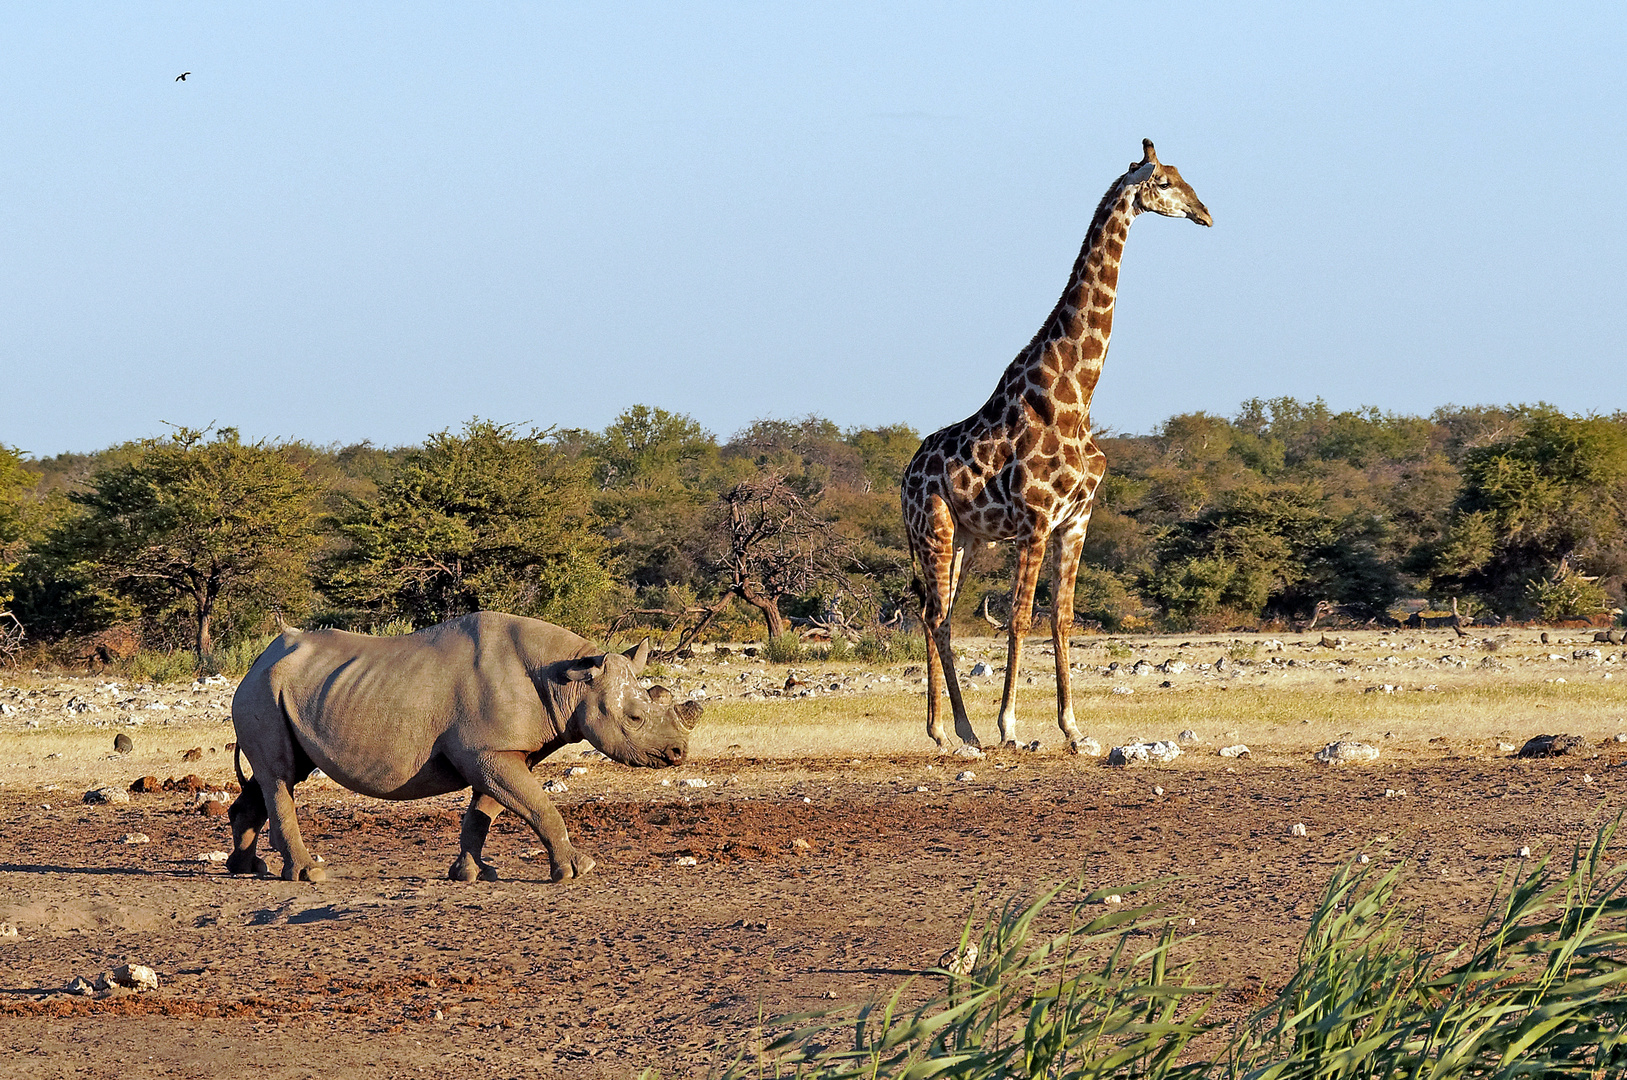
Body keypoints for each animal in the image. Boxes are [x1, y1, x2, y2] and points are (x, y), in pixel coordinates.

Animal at [904, 139, 1210, 751]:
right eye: (1165, 182)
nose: (1206, 213)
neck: (1075, 393)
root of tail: (902, 480)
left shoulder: (1076, 518)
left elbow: (1061, 616)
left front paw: (1072, 727)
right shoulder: (1036, 519)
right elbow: (1021, 616)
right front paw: (1010, 726)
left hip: (967, 539)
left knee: (939, 615)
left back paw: (960, 730)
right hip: (934, 531)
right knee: (932, 614)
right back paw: (946, 730)